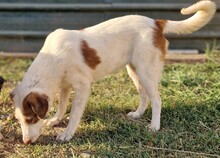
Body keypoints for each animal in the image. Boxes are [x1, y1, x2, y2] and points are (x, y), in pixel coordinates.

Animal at [11, 0, 216, 144]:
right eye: (19, 120)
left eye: (30, 119)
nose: (26, 142)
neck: (53, 59)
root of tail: (156, 23)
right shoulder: (64, 86)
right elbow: (61, 107)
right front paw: (55, 120)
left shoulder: (83, 87)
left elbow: (75, 114)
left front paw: (67, 133)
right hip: (133, 71)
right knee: (144, 96)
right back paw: (138, 114)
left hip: (146, 71)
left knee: (157, 99)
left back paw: (154, 126)